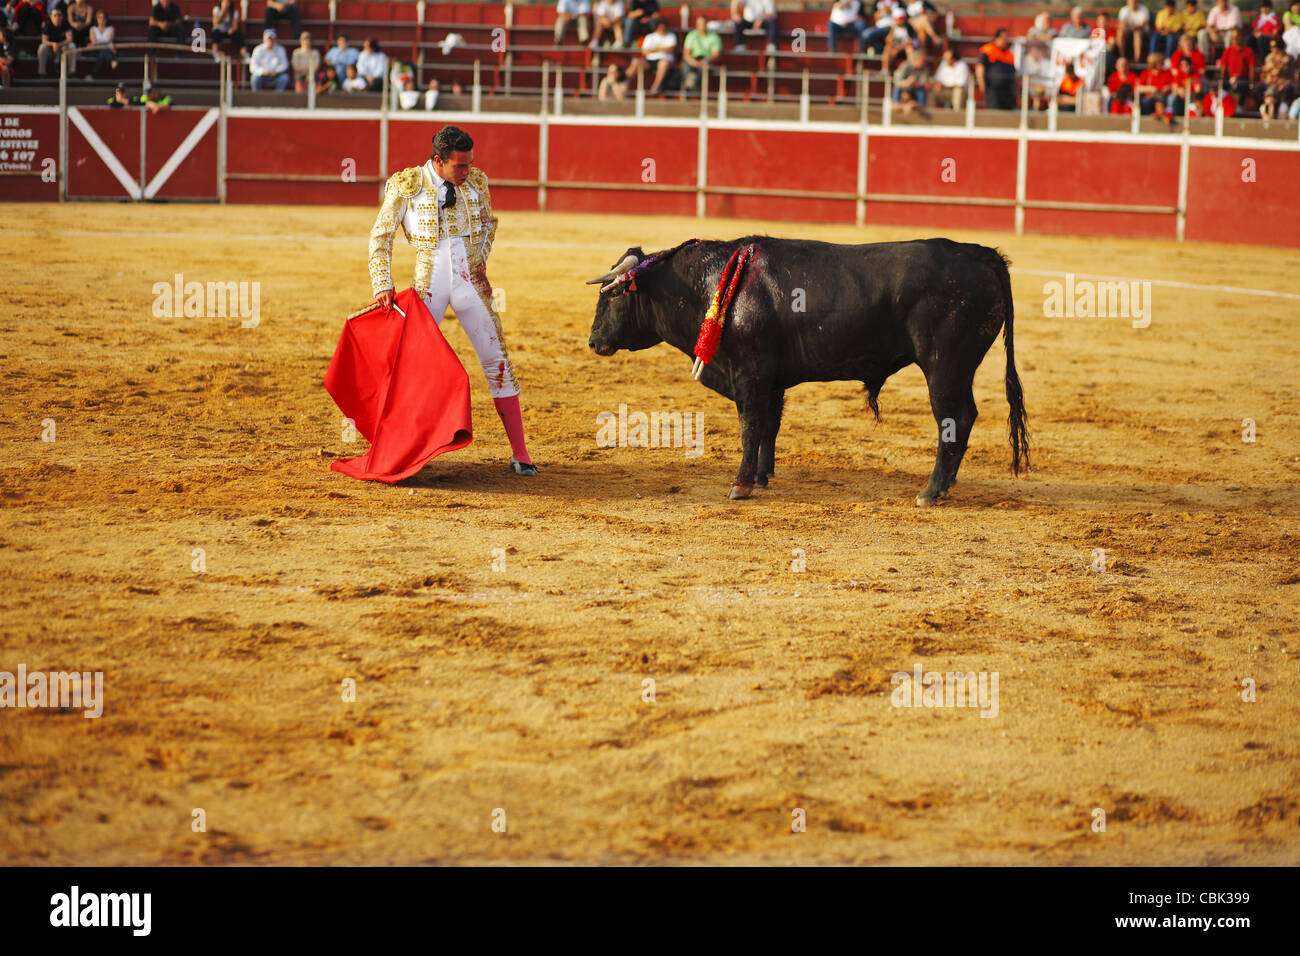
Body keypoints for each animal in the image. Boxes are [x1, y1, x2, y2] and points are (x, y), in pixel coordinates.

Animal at [587, 235, 1024, 504]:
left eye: (611, 297)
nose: (593, 341)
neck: (708, 285)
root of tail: (983, 255)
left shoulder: (749, 371)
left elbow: (749, 424)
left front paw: (741, 485)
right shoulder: (771, 379)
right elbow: (769, 426)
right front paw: (763, 477)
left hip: (944, 367)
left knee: (954, 419)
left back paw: (931, 492)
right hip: (959, 369)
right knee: (966, 417)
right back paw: (947, 484)